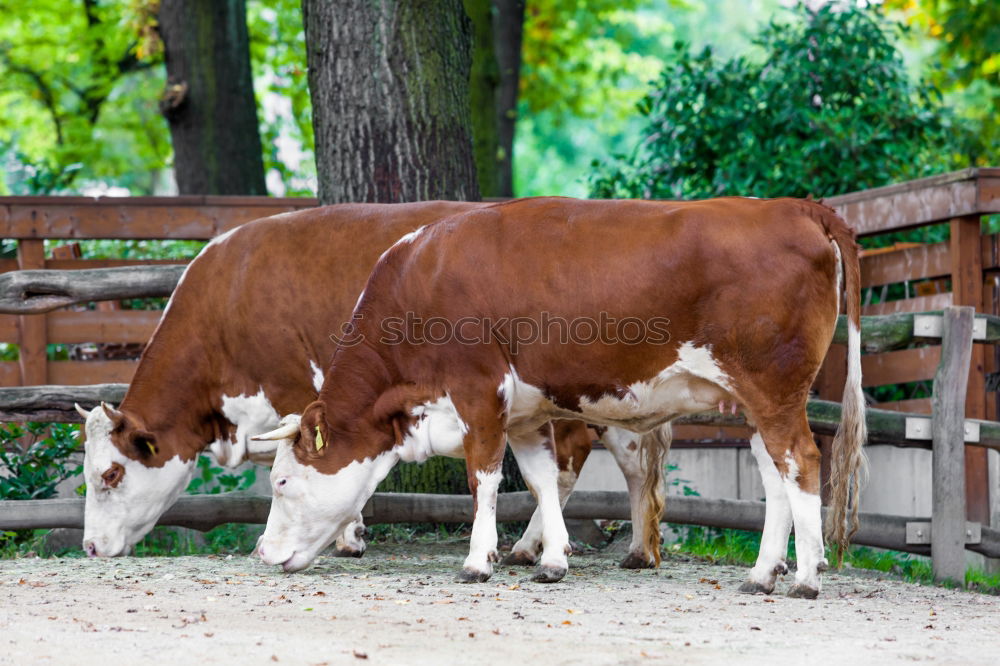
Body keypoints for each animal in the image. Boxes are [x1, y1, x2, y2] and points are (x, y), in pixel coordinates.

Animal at [254, 195, 864, 592]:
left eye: (281, 481)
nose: (260, 553)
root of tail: (795, 206)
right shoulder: (525, 413)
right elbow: (542, 477)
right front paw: (551, 560)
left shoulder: (480, 394)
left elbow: (484, 479)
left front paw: (479, 560)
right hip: (752, 403)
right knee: (775, 476)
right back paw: (762, 572)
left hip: (775, 391)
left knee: (802, 461)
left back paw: (806, 574)